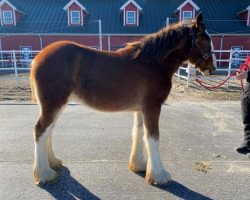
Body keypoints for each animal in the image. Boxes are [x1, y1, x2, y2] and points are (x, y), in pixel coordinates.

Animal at [29, 13, 217, 186]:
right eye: (205, 39)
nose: (212, 68)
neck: (153, 64)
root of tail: (37, 58)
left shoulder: (141, 109)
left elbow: (139, 133)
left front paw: (139, 165)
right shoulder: (152, 107)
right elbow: (153, 137)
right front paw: (159, 175)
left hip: (57, 105)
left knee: (49, 130)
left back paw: (53, 163)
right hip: (53, 105)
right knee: (40, 130)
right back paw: (45, 174)